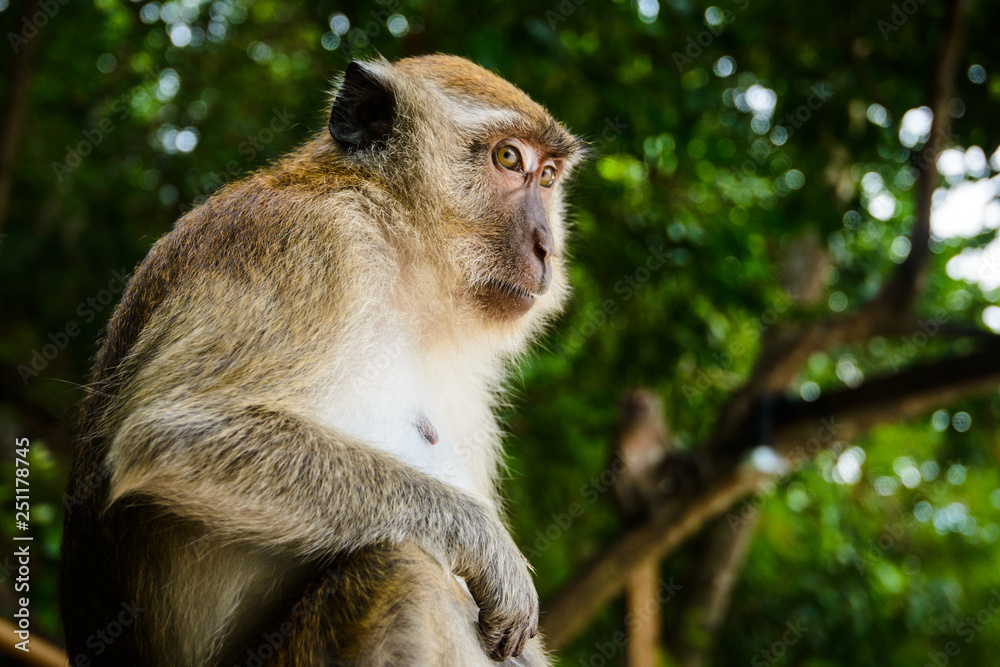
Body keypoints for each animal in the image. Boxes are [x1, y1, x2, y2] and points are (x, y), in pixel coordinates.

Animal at [58, 54, 584, 666]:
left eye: (547, 177)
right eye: (508, 159)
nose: (546, 248)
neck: (400, 253)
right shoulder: (310, 243)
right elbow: (172, 433)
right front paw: (489, 550)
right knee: (403, 571)